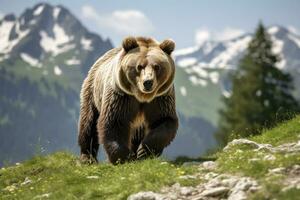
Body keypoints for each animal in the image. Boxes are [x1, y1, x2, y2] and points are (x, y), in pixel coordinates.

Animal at [77, 36, 179, 164]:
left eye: (157, 66)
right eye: (139, 66)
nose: (148, 82)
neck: (142, 96)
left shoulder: (160, 98)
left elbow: (163, 121)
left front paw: (143, 151)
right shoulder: (121, 96)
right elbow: (114, 121)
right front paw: (122, 157)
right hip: (93, 91)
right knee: (89, 122)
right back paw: (87, 157)